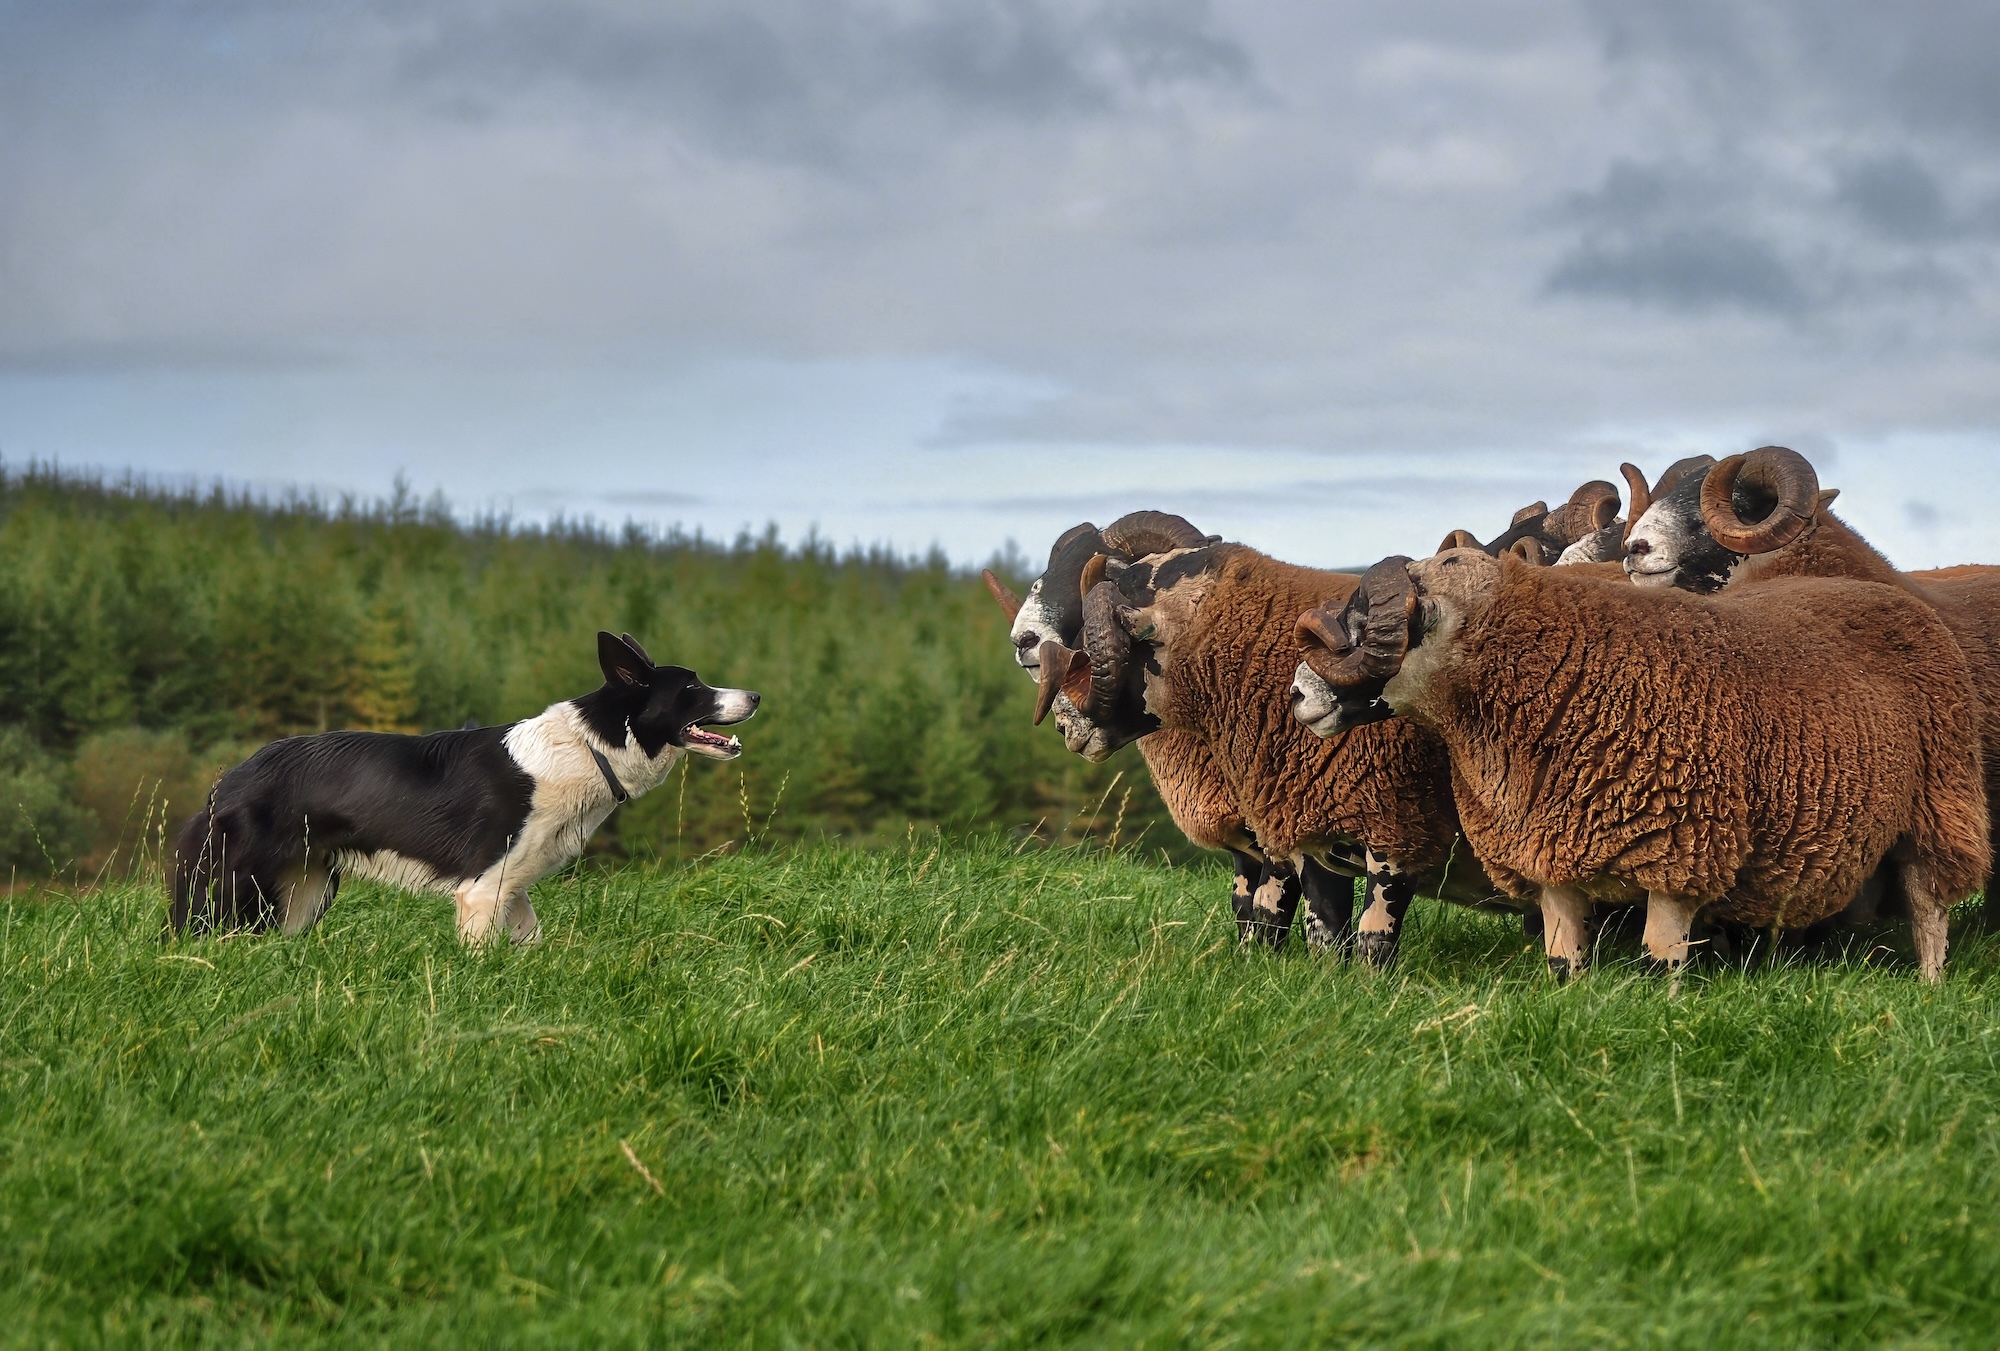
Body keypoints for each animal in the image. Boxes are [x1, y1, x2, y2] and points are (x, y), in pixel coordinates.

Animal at [1017, 525, 1515, 965]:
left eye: (1091, 633)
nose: (1061, 723)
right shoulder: (1305, 831)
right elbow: (1298, 928)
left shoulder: (1394, 831)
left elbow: (1364, 940)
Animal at [1291, 550, 1988, 982]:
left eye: (1365, 622)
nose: (1296, 695)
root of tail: (1894, 593)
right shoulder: (1551, 849)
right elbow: (1562, 960)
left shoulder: (1684, 846)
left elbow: (1661, 960)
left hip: (1940, 800)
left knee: (1929, 906)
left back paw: (1929, 988)